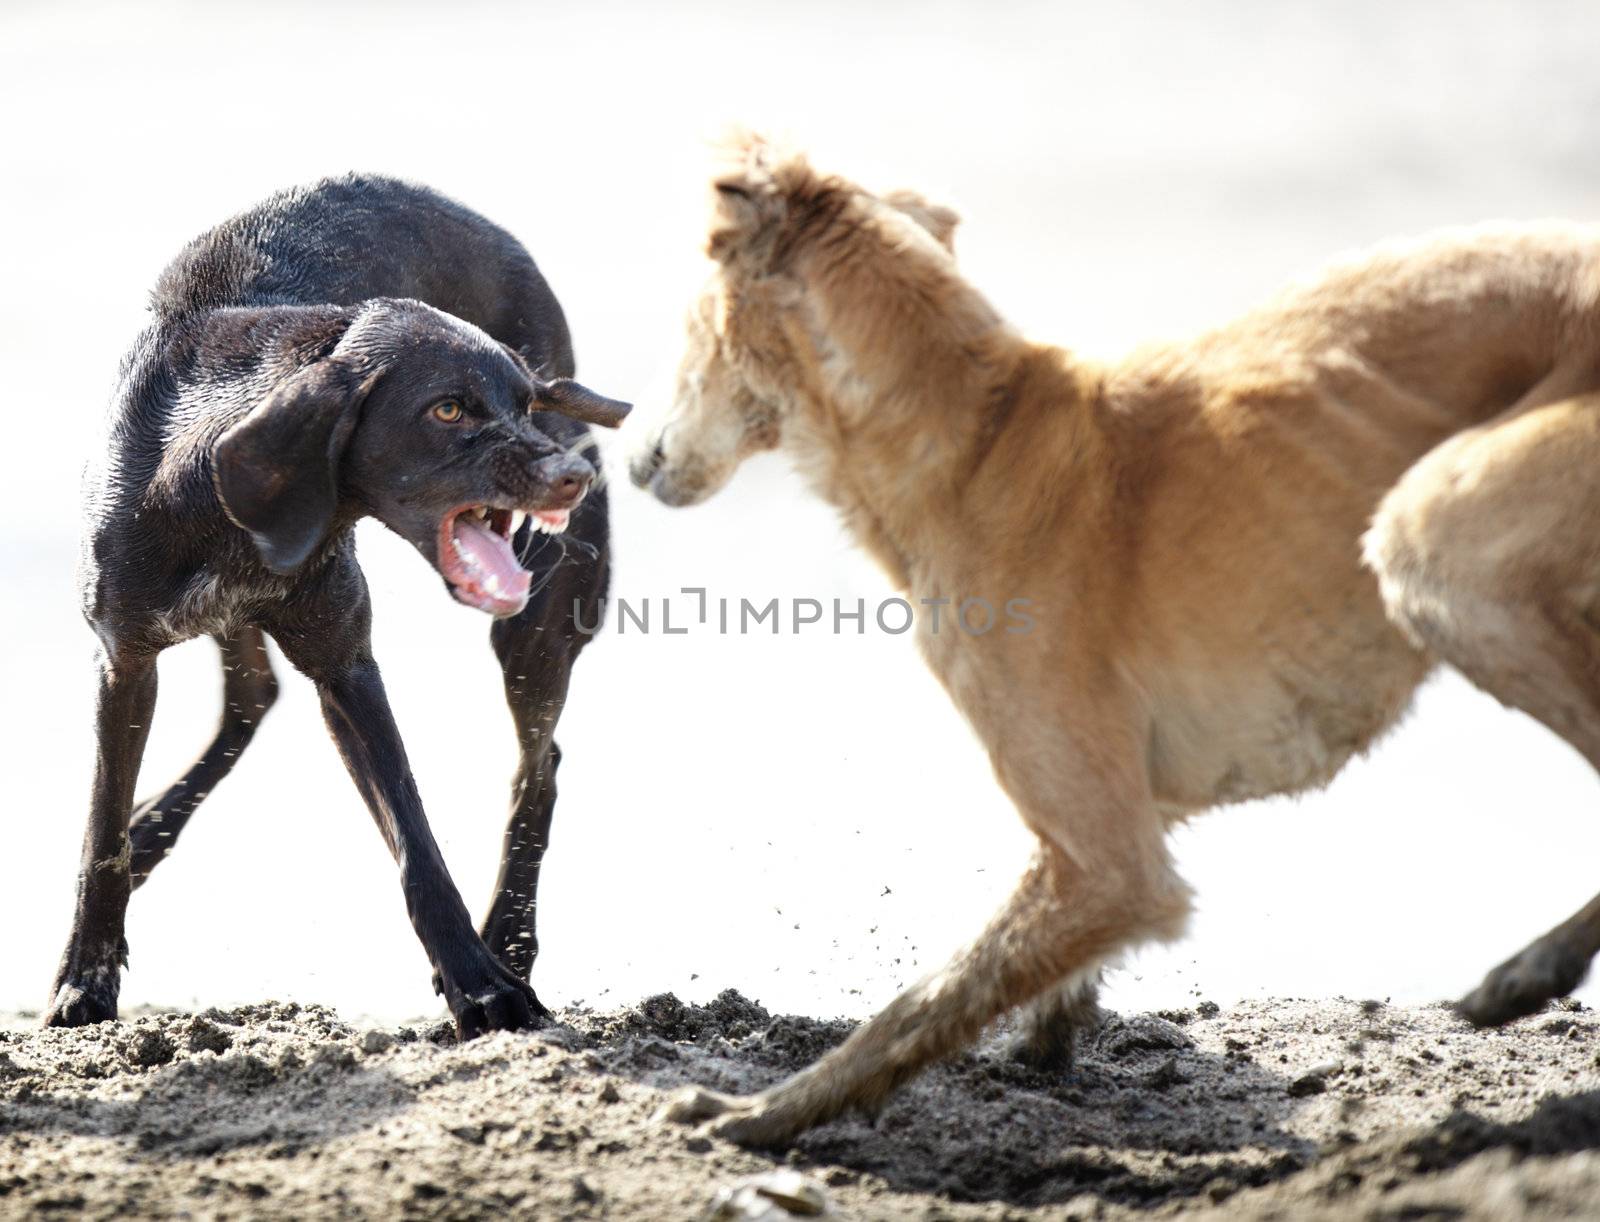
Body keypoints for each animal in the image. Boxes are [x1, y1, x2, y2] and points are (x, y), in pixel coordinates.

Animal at [51, 174, 624, 1030]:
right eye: (447, 409)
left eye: (523, 405)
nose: (575, 475)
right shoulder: (124, 660)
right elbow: (102, 832)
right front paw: (86, 977)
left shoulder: (346, 669)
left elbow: (419, 848)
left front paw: (483, 984)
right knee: (251, 699)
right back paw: (152, 827)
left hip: (539, 625)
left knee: (540, 766)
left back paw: (512, 937)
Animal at [627, 138, 1600, 1151]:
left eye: (689, 316)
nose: (626, 449)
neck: (974, 443)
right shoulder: (1116, 825)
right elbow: (1032, 978)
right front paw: (1046, 1045)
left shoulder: (1111, 862)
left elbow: (921, 1002)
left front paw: (759, 1113)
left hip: (1435, 545)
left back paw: (1533, 967)